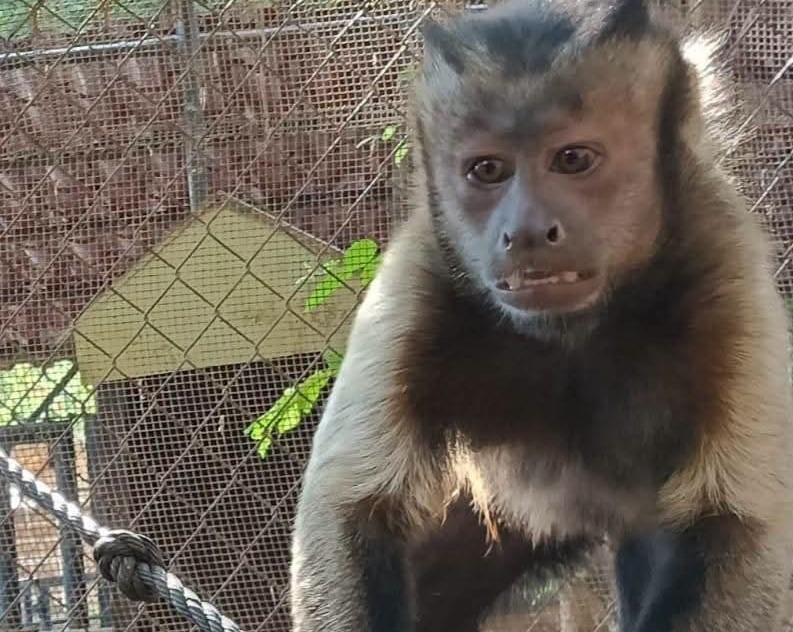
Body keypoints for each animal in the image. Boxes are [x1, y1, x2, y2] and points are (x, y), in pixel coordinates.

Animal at [288, 0, 793, 630]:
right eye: (487, 170)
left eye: (572, 160)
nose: (526, 230)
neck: (571, 334)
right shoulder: (419, 276)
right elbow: (351, 506)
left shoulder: (722, 259)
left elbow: (732, 523)